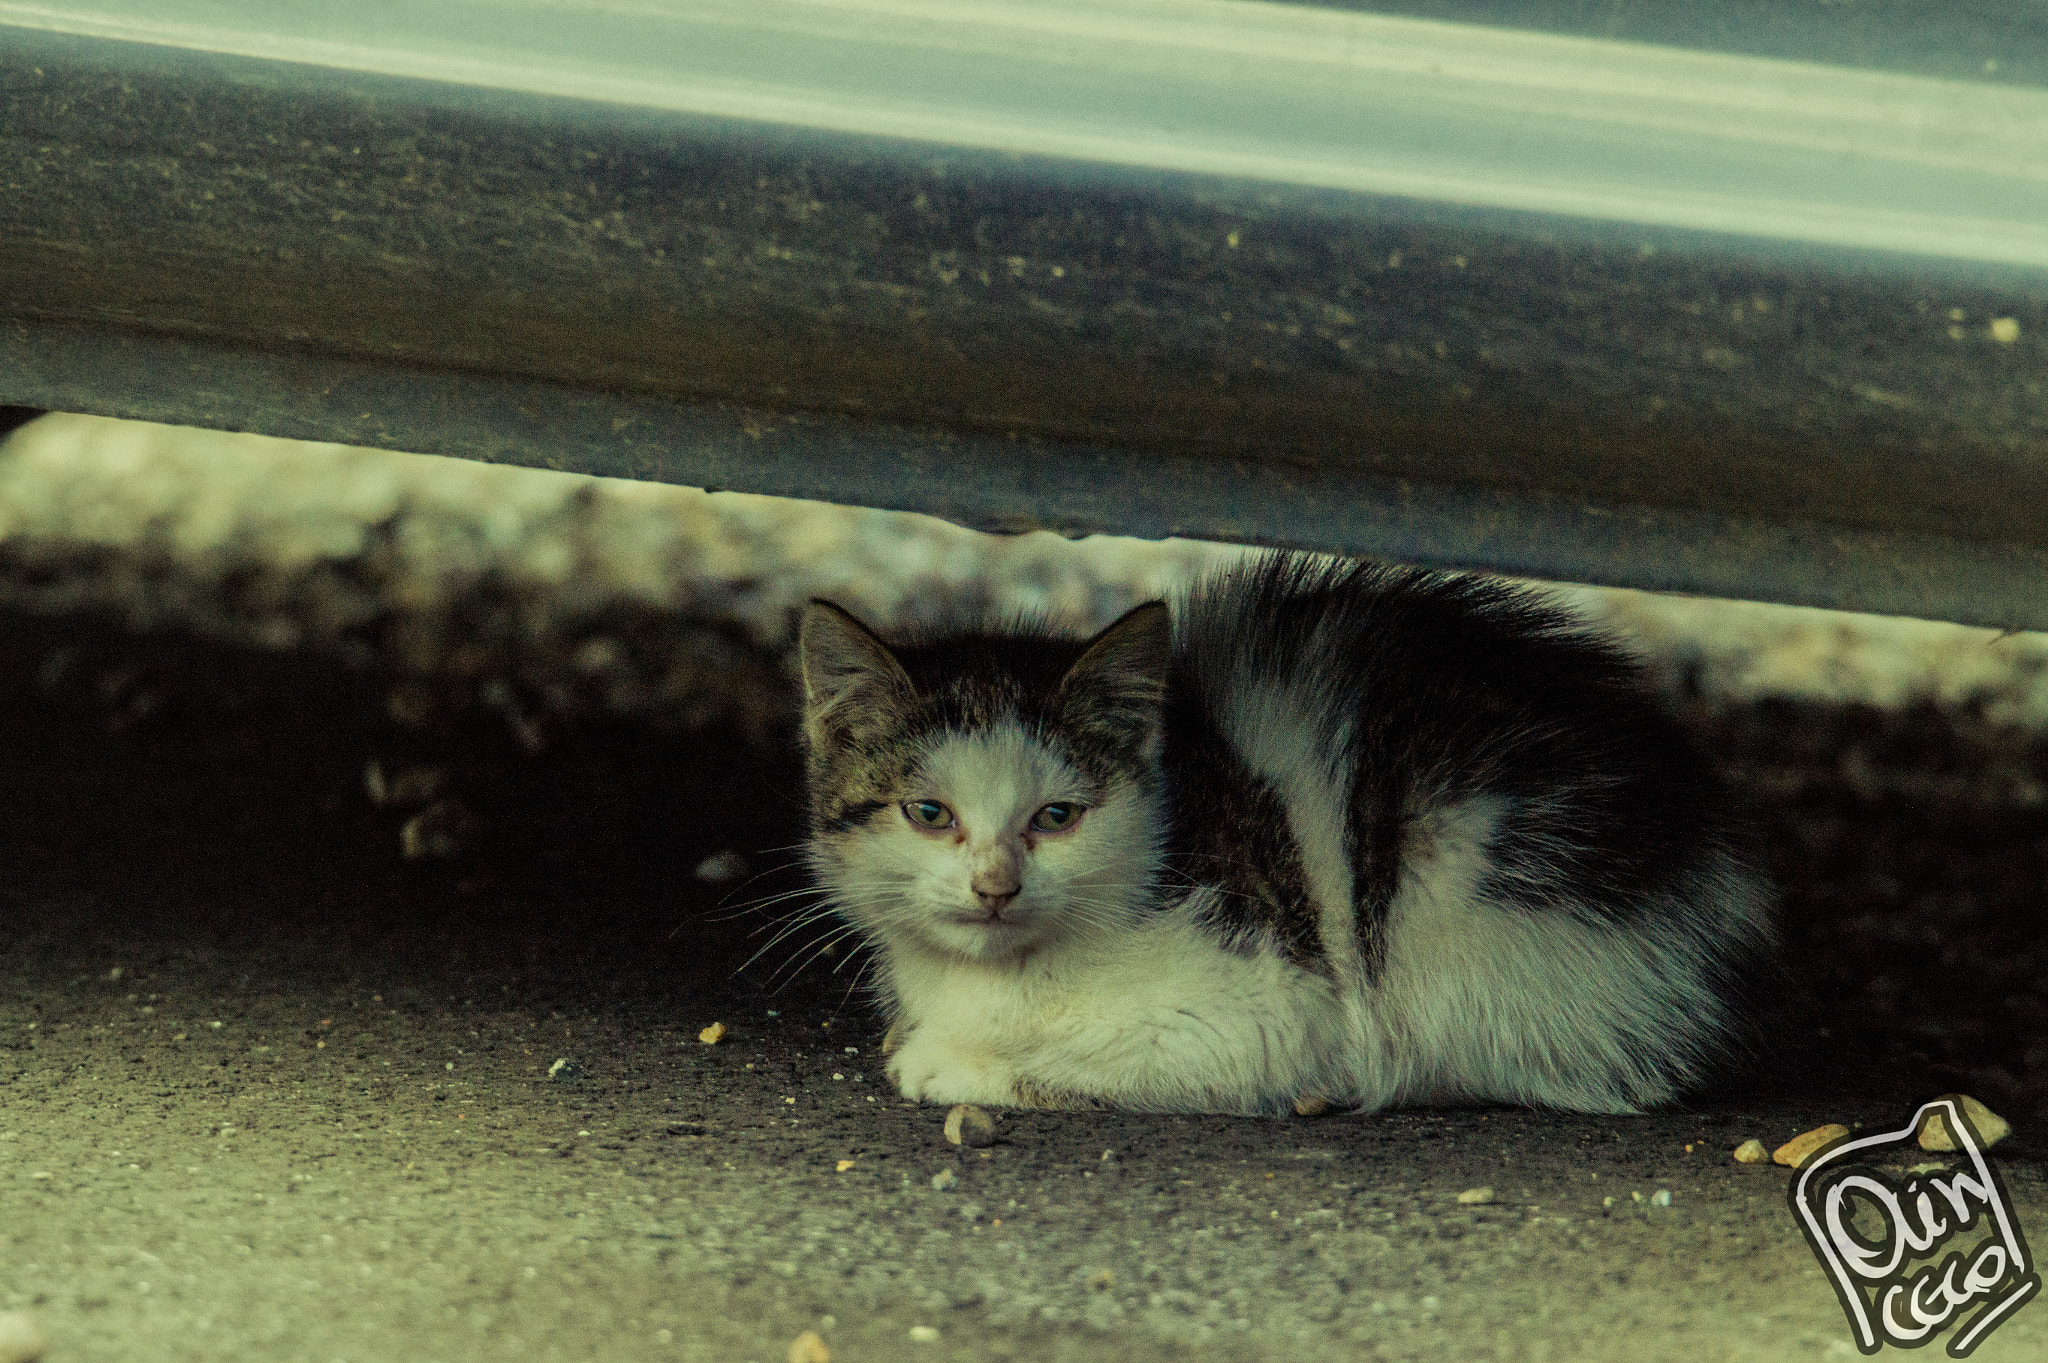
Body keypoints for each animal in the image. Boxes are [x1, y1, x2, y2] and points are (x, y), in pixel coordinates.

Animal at [794, 552, 1777, 1113]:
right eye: (929, 813)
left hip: (1462, 894)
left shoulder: (1265, 1006)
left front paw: (953, 1064)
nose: (995, 886)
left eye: (1057, 816)